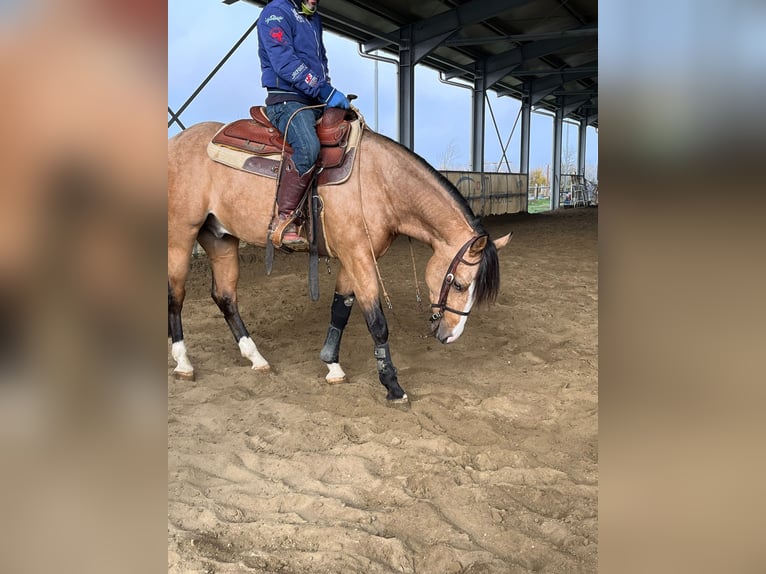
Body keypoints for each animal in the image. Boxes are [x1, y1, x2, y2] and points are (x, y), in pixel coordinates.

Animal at [171, 109, 512, 404]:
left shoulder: (353, 256)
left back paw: (256, 357)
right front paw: (392, 385)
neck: (379, 182)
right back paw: (183, 362)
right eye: (459, 284)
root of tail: (178, 141)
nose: (450, 336)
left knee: (225, 296)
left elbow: (341, 310)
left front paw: (332, 365)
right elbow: (376, 321)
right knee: (176, 295)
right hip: (182, 235)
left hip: (220, 238)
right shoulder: (359, 257)